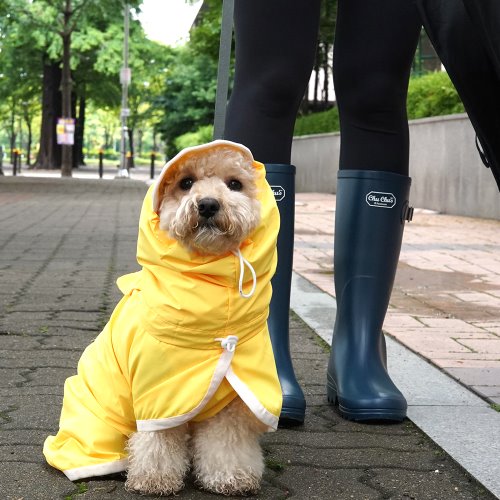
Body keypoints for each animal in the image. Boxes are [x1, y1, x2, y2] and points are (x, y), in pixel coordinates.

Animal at [43, 141, 284, 496]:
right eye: (186, 183)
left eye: (234, 184)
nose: (207, 204)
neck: (212, 283)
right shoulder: (157, 393)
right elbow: (158, 441)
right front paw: (154, 479)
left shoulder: (232, 400)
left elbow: (227, 443)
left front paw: (231, 477)